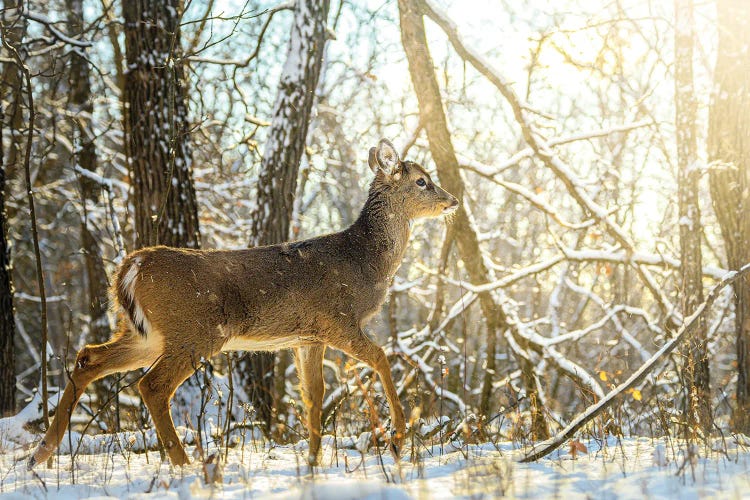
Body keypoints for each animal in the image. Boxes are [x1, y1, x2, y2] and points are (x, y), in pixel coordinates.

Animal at [29, 138, 458, 468]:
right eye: (422, 180)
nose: (453, 200)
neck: (365, 262)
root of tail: (130, 267)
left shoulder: (307, 337)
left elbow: (313, 396)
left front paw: (313, 462)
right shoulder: (336, 320)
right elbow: (382, 357)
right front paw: (398, 440)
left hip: (146, 333)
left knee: (89, 357)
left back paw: (41, 454)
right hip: (195, 332)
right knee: (151, 385)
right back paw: (185, 464)